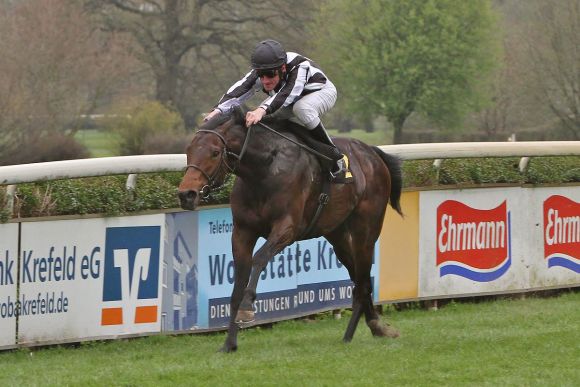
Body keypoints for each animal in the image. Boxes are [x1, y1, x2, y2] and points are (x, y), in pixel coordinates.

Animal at [178, 107, 404, 354]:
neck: (264, 169)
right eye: (188, 150)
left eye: (215, 152)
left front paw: (247, 309)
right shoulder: (242, 231)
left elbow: (259, 259)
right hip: (338, 235)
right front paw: (229, 343)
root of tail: (372, 152)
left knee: (363, 280)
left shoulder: (287, 228)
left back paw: (356, 332)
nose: (186, 194)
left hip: (367, 230)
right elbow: (238, 283)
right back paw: (374, 327)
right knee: (359, 278)